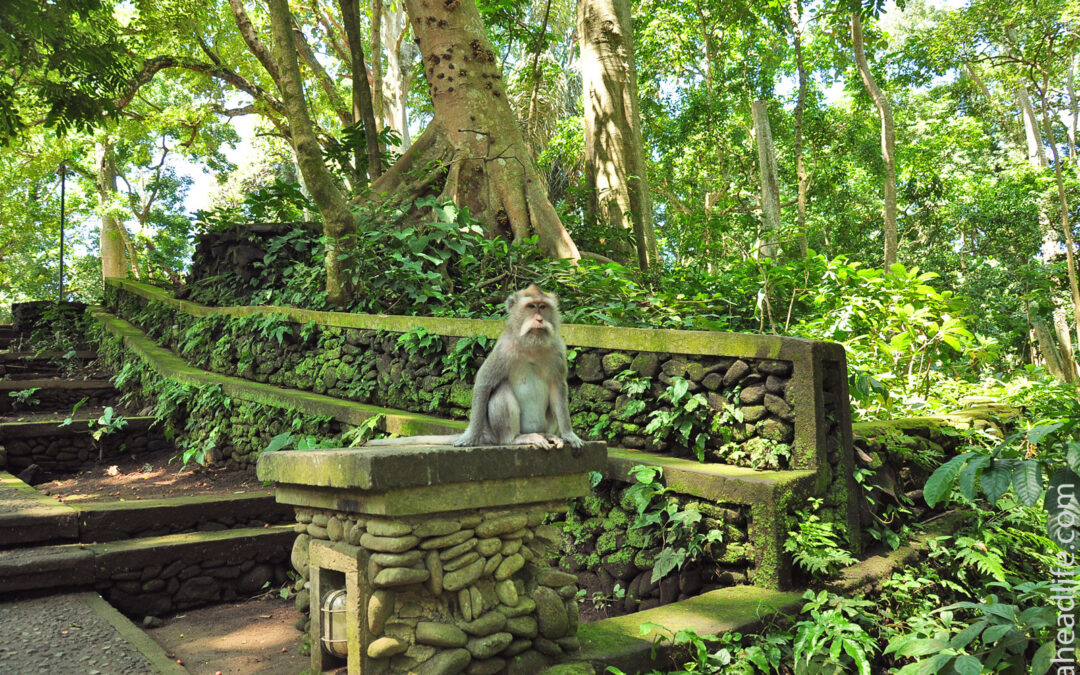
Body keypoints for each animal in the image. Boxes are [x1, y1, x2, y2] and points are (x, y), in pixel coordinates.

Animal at [365, 285, 583, 453]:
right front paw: (470, 437)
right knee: (501, 391)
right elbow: (485, 382)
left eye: (543, 307)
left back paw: (549, 435)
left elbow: (558, 387)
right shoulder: (503, 349)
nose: (539, 319)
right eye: (531, 306)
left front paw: (569, 434)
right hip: (500, 431)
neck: (532, 347)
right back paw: (514, 439)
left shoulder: (558, 350)